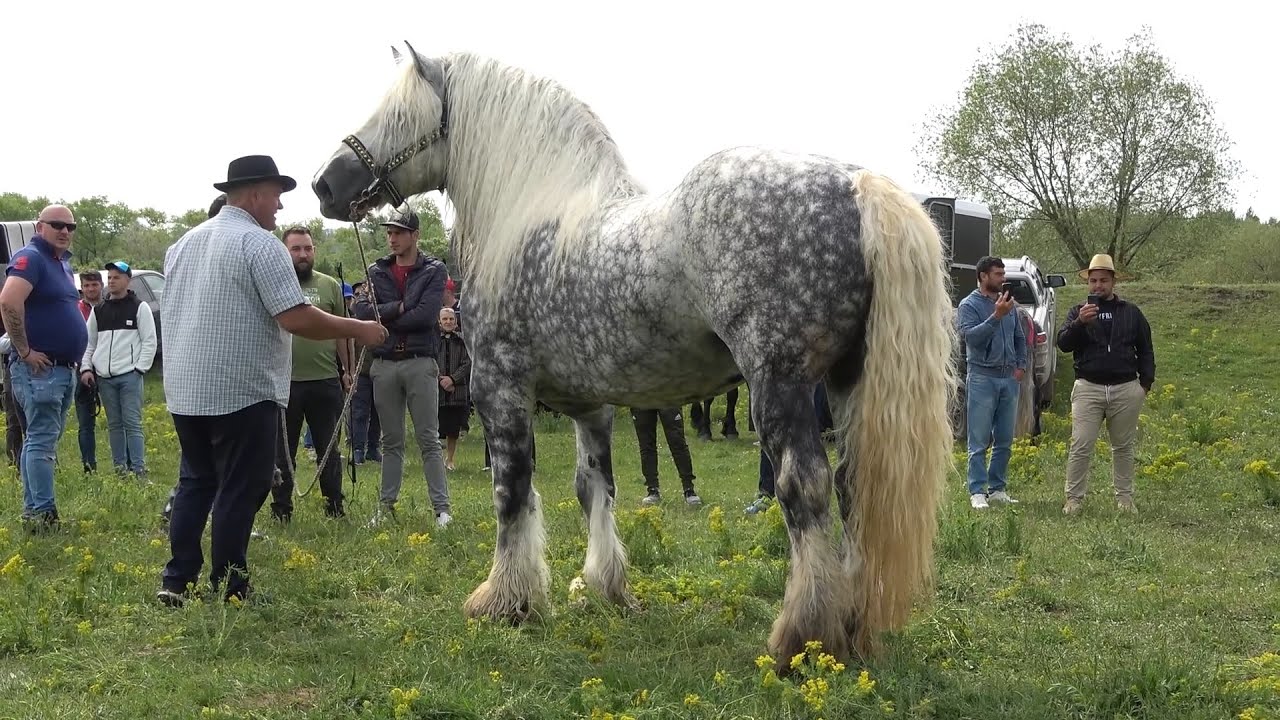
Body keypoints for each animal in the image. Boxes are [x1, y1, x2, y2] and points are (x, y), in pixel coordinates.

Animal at [312, 43, 958, 667]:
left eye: (397, 116)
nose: (324, 184)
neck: (536, 215)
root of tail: (860, 186)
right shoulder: (590, 406)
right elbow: (593, 487)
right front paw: (603, 588)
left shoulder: (500, 388)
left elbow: (512, 492)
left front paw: (506, 601)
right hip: (850, 384)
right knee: (853, 488)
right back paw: (851, 628)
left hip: (779, 385)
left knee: (805, 488)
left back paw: (802, 638)